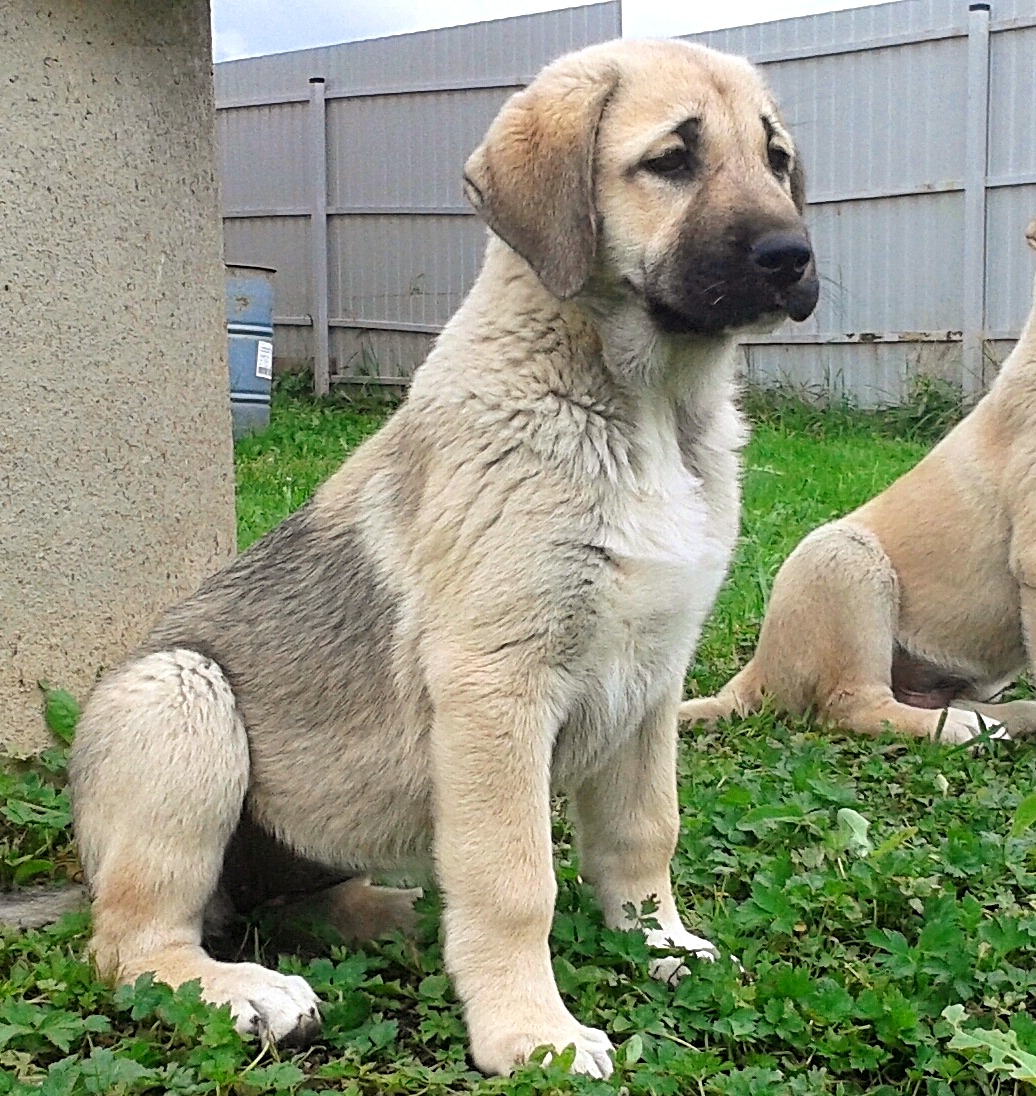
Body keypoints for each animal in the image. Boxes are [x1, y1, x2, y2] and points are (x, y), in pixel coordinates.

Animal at [68, 38, 820, 1074]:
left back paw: (394, 916)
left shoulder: (653, 679)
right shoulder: (495, 686)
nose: (795, 258)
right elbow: (515, 881)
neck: (647, 410)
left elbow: (644, 832)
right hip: (177, 697)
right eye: (672, 159)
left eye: (776, 159)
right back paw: (243, 991)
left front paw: (660, 942)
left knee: (290, 903)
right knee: (133, 941)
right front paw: (532, 1032)